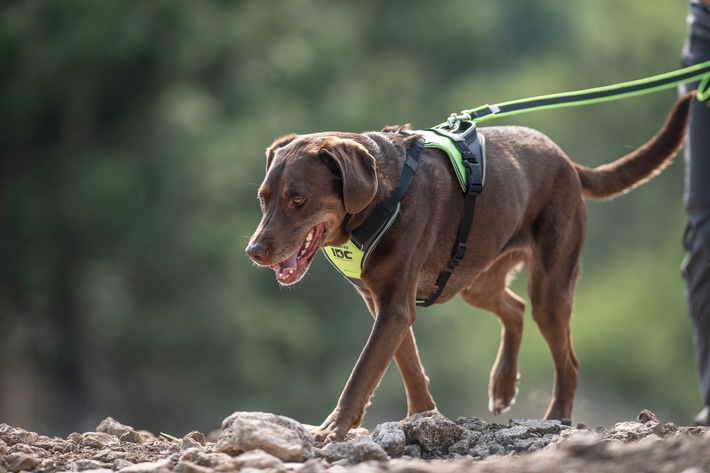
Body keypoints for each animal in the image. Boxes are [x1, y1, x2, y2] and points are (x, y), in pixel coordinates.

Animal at [245, 93, 696, 442]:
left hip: (549, 285)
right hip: (471, 277)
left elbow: (363, 373)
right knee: (513, 309)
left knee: (566, 358)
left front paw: (333, 429)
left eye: (298, 199)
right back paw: (502, 385)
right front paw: (423, 416)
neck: (379, 198)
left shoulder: (394, 307)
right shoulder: (382, 304)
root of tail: (565, 160)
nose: (253, 250)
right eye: (263, 197)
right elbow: (408, 365)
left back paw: (556, 418)